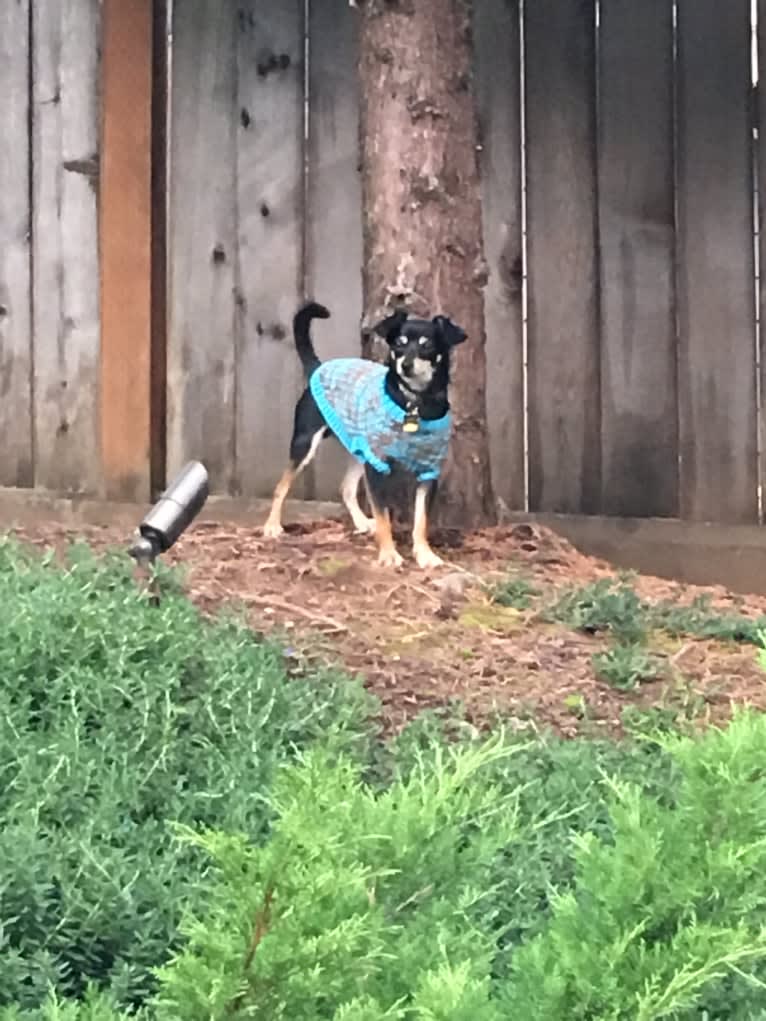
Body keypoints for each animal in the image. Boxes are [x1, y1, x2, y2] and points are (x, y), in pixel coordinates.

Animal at [263, 298, 467, 571]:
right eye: (399, 343)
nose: (406, 365)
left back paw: (361, 522)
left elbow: (421, 520)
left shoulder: (428, 470)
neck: (415, 403)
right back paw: (272, 526)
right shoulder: (378, 466)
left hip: (360, 450)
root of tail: (318, 367)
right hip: (306, 442)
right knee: (282, 485)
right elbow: (383, 516)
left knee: (346, 488)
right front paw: (389, 554)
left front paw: (425, 554)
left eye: (427, 344)